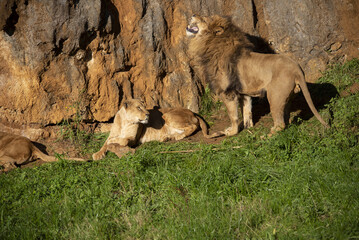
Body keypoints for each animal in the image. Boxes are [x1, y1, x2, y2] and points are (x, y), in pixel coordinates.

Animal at [92, 97, 222, 159]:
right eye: (139, 108)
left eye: (144, 107)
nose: (148, 114)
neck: (125, 121)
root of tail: (193, 113)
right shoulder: (113, 134)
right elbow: (104, 144)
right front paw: (98, 154)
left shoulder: (133, 139)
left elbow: (121, 140)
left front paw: (113, 142)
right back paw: (167, 137)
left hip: (167, 115)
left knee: (193, 126)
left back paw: (178, 137)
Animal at [187, 14, 330, 135]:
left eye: (204, 19)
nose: (193, 14)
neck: (209, 45)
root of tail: (297, 69)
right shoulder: (244, 92)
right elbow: (247, 111)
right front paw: (247, 127)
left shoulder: (228, 92)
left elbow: (233, 115)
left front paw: (232, 132)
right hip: (287, 97)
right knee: (286, 118)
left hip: (275, 96)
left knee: (280, 124)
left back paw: (267, 136)